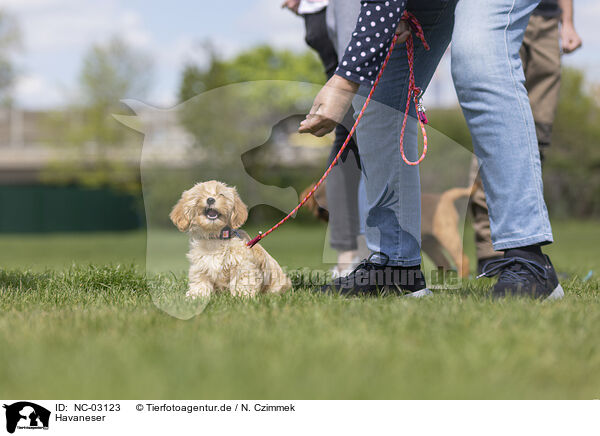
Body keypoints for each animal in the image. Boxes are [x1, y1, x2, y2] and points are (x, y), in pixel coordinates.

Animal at [302, 182, 472, 278]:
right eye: (317, 197)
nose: (321, 210)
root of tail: (444, 197)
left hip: (447, 235)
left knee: (462, 259)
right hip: (430, 244)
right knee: (444, 262)